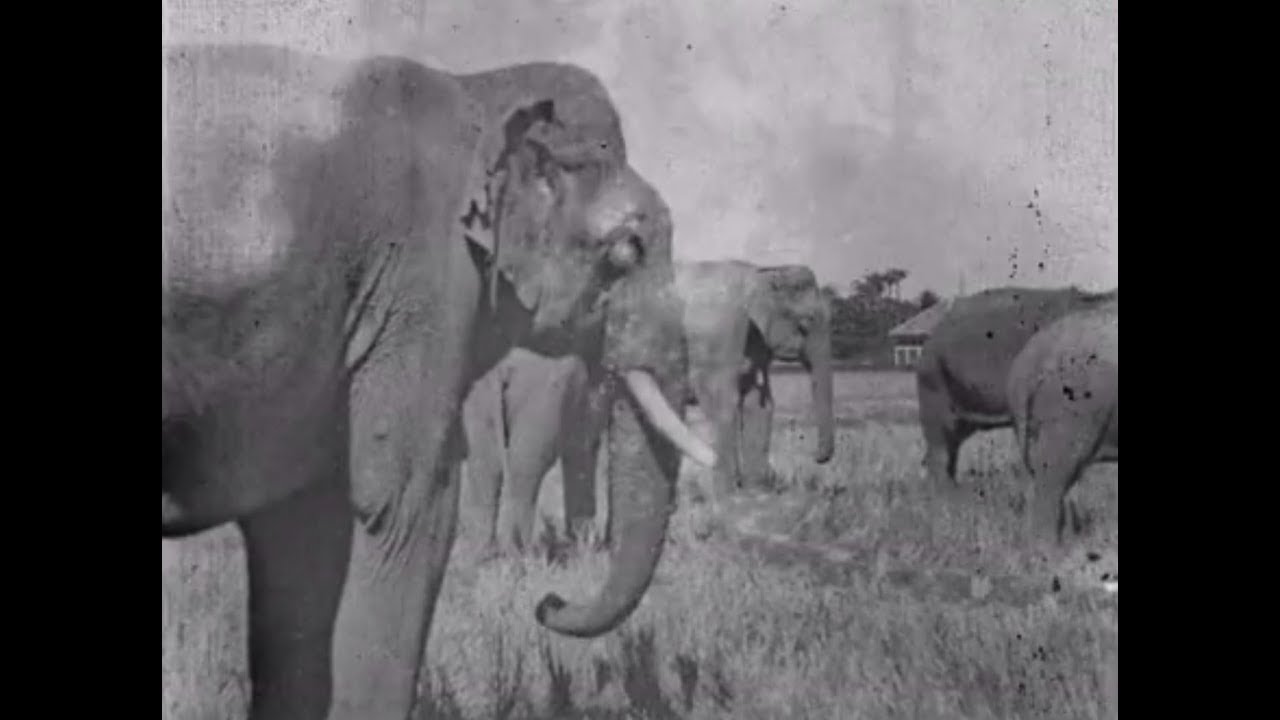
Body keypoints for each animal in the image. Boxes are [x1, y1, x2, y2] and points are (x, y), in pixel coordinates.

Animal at [162, 44, 716, 719]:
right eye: (626, 251)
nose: (548, 603)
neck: (481, 88)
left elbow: (303, 521)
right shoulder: (424, 281)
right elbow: (406, 503)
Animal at [458, 260, 835, 555]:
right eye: (806, 323)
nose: (819, 457)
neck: (763, 272)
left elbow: (760, 404)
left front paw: (755, 496)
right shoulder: (718, 338)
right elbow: (724, 405)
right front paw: (731, 503)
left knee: (487, 460)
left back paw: (486, 557)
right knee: (526, 457)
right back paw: (517, 554)